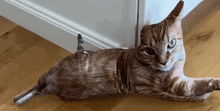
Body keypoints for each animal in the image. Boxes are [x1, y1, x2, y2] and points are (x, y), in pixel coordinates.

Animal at [13, 0, 220, 106]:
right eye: (150, 50)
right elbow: (201, 84)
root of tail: (46, 86)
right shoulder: (177, 84)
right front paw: (214, 84)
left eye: (171, 43)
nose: (163, 61)